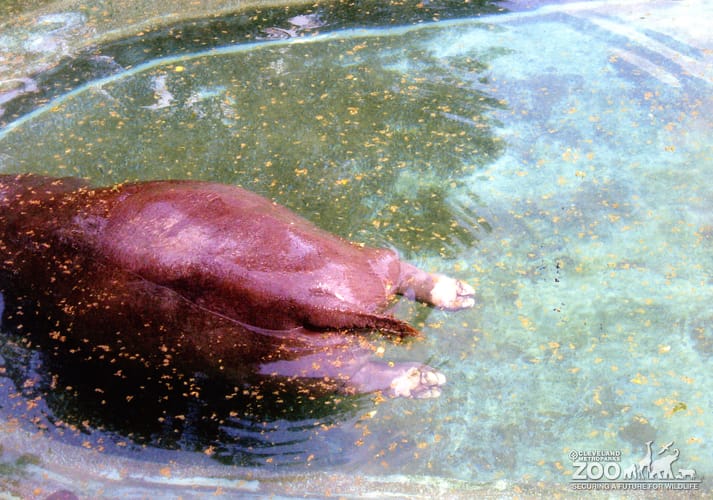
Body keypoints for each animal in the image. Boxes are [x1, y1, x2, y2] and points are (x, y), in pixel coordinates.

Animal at [0, 174, 474, 399]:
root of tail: (315, 298)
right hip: (348, 272)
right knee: (394, 270)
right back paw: (458, 298)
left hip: (286, 360)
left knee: (354, 374)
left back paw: (426, 378)